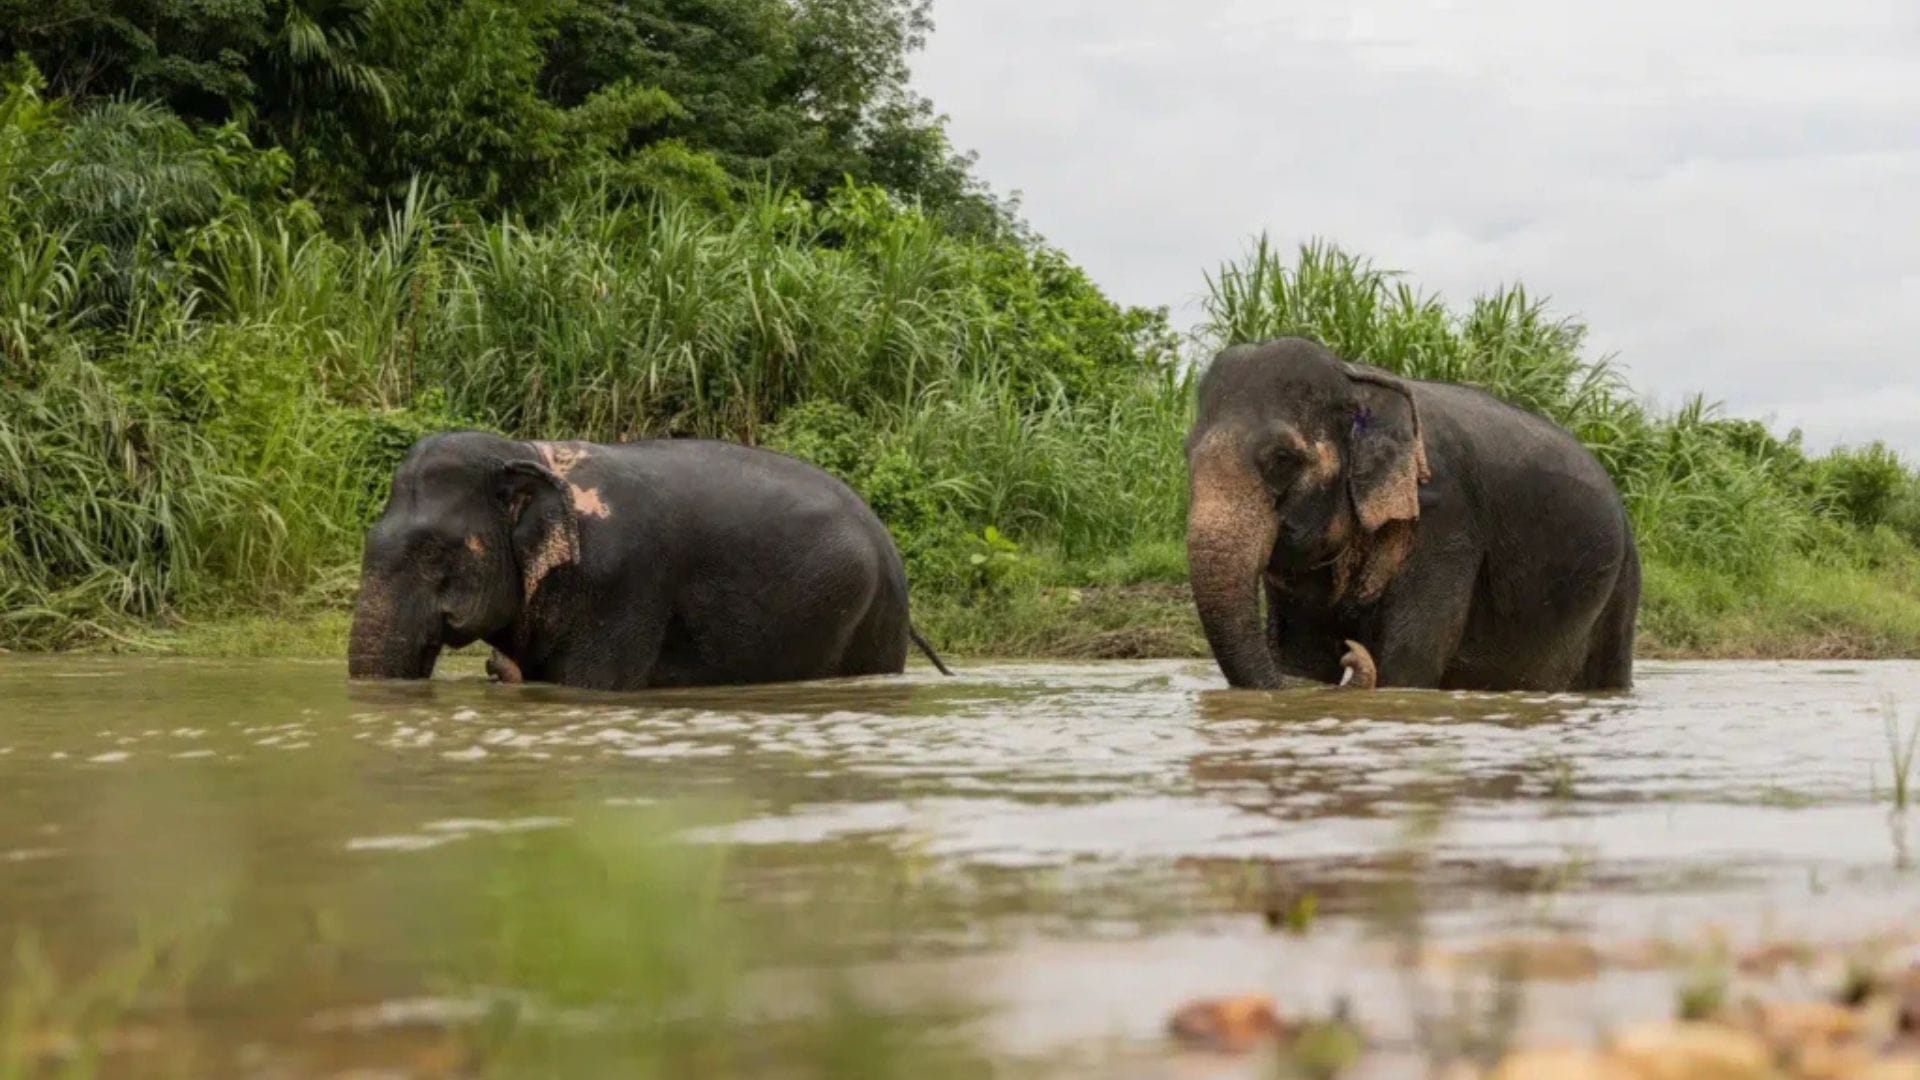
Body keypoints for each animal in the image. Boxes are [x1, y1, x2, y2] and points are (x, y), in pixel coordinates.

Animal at [1185, 337, 1639, 692]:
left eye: (1282, 459)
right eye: (1186, 455)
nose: (1351, 656)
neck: (1354, 377)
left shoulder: (1445, 520)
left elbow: (1406, 665)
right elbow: (1303, 657)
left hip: (1623, 582)